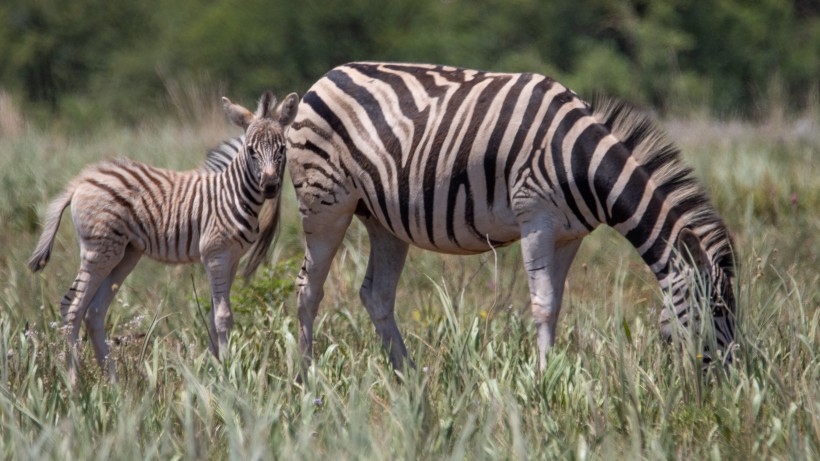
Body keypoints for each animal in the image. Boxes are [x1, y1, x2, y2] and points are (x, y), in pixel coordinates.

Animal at [28, 90, 302, 380]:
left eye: (282, 149)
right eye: (251, 150)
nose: (270, 186)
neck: (232, 193)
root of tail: (82, 180)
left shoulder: (233, 258)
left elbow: (215, 315)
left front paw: (214, 371)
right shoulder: (215, 254)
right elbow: (222, 316)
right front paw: (227, 373)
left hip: (124, 253)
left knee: (94, 312)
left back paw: (112, 382)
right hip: (99, 251)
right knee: (72, 307)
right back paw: (73, 382)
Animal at [278, 62, 740, 370]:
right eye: (717, 309)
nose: (730, 379)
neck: (581, 161)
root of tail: (326, 76)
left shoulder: (569, 235)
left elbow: (555, 304)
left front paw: (550, 372)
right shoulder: (535, 218)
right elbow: (542, 303)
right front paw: (542, 380)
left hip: (382, 219)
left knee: (376, 294)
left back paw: (407, 376)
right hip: (326, 204)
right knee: (308, 288)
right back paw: (307, 375)